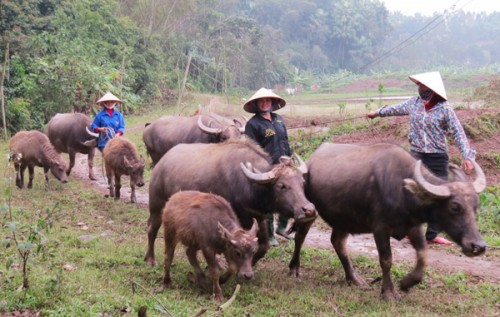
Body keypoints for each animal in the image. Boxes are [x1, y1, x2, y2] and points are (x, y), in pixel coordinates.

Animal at [145, 139, 316, 266]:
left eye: (302, 182)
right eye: (282, 186)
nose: (309, 210)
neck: (250, 185)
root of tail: (161, 163)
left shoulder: (258, 217)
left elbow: (263, 246)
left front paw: (252, 262)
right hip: (156, 206)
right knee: (152, 229)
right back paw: (151, 259)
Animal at [292, 143, 486, 298]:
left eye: (476, 206)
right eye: (455, 207)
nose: (479, 246)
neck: (402, 190)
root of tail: (310, 161)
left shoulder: (413, 226)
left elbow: (423, 255)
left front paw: (407, 283)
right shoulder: (380, 228)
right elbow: (386, 260)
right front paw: (388, 292)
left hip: (343, 217)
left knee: (338, 242)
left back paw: (353, 278)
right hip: (309, 211)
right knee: (300, 238)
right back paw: (294, 269)